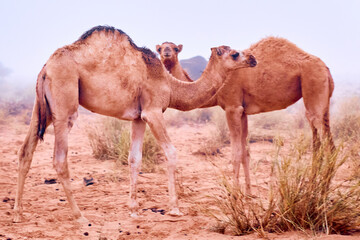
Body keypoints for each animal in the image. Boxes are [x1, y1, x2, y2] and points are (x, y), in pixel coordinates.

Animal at [13, 25, 256, 222]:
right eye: (235, 54)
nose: (253, 58)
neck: (170, 84)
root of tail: (46, 67)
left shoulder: (138, 118)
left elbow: (134, 159)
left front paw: (133, 209)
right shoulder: (153, 112)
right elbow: (171, 153)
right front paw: (175, 209)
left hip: (41, 108)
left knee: (25, 151)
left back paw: (18, 213)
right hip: (65, 104)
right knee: (60, 159)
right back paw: (78, 215)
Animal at [158, 38, 334, 195]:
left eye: (175, 48)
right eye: (160, 48)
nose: (166, 52)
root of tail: (326, 68)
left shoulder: (232, 108)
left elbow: (235, 154)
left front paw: (235, 195)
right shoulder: (243, 112)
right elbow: (245, 153)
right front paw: (249, 193)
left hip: (314, 87)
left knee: (328, 146)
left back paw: (323, 193)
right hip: (321, 103)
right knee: (317, 144)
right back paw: (312, 188)